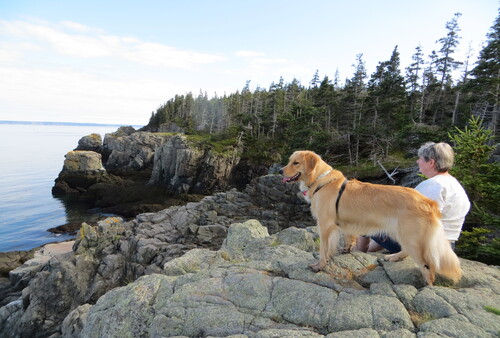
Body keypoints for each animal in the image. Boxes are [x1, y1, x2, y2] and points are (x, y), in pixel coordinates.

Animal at [280, 151, 462, 286]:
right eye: (289, 161)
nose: (280, 171)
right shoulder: (344, 224)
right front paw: (346, 249)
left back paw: (427, 284)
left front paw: (319, 265)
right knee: (407, 252)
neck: (319, 180)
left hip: (410, 235)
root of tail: (428, 202)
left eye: (296, 163)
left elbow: (324, 249)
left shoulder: (325, 225)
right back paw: (393, 257)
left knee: (426, 264)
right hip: (400, 232)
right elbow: (348, 238)